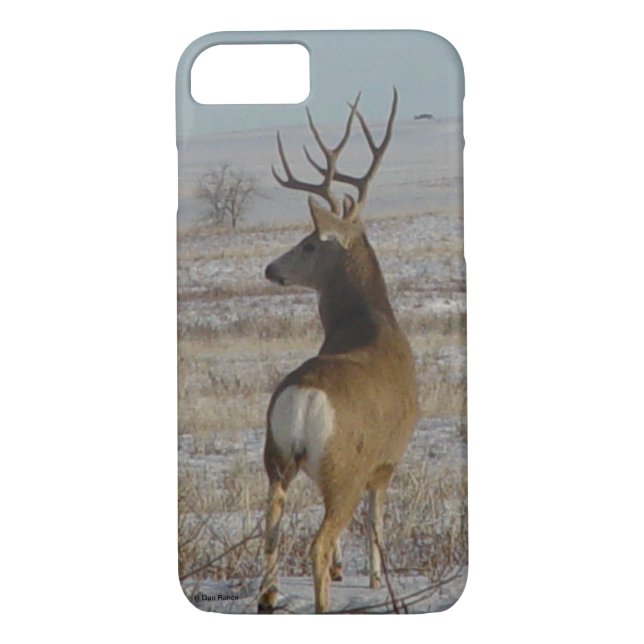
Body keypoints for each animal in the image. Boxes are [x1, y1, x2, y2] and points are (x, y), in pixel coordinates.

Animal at [258, 89, 419, 614]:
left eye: (309, 244)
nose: (271, 268)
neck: (368, 325)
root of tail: (303, 398)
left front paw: (346, 570)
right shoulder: (386, 460)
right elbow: (377, 519)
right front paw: (372, 577)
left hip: (276, 458)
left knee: (271, 528)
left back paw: (269, 596)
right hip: (343, 467)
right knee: (319, 539)